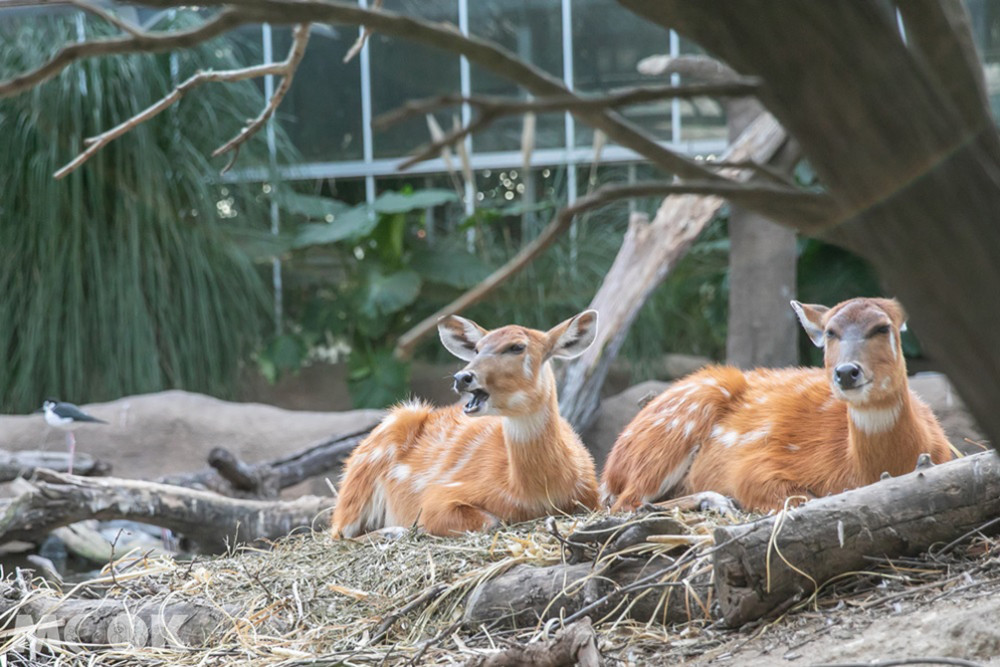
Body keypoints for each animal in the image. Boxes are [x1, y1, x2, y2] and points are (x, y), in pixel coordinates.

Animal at [331, 310, 601, 537]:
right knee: (340, 532)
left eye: (517, 347)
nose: (462, 377)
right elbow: (489, 520)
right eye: (477, 349)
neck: (534, 492)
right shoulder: (438, 498)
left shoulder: (592, 498)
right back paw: (394, 531)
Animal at [601, 297, 953, 513]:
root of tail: (609, 469)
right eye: (830, 332)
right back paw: (716, 501)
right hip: (671, 431)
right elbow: (798, 498)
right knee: (626, 503)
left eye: (882, 327)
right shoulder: (758, 466)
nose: (846, 372)